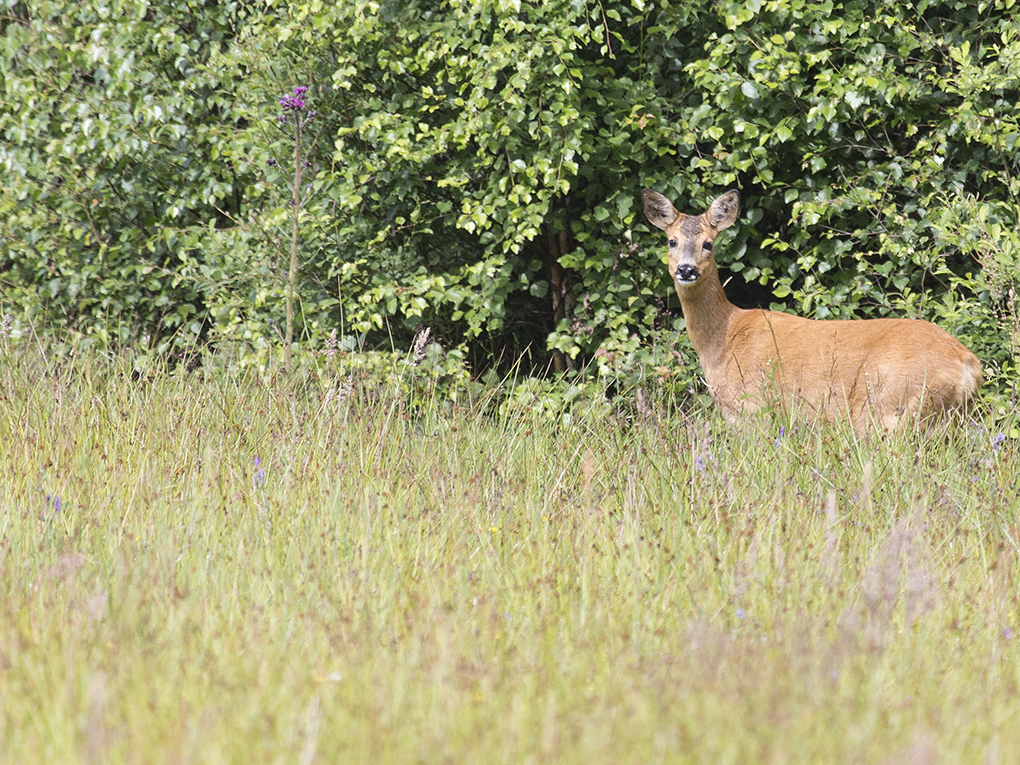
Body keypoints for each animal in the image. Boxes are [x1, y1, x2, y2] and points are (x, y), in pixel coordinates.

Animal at [640, 187, 983, 428]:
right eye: (671, 241)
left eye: (708, 244)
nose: (686, 269)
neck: (722, 341)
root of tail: (967, 363)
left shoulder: (753, 407)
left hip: (890, 406)